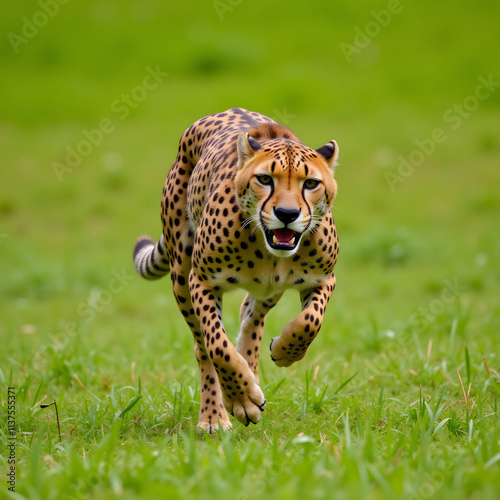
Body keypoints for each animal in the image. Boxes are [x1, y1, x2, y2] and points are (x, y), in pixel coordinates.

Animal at [134, 106, 340, 434]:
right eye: (265, 179)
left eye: (311, 183)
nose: (287, 214)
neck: (267, 252)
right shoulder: (201, 281)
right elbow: (218, 346)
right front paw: (241, 399)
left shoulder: (322, 279)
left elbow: (309, 322)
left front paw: (285, 352)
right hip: (181, 275)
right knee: (203, 347)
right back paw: (215, 414)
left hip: (270, 291)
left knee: (251, 316)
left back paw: (250, 366)